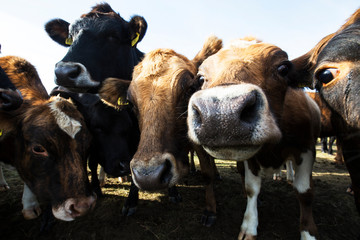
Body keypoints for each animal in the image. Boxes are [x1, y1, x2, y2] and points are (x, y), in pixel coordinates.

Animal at [98, 36, 222, 225]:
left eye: (189, 89)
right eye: (130, 102)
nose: (149, 176)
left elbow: (207, 172)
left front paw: (210, 210)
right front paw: (131, 202)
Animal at [187, 37, 320, 238]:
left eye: (283, 68)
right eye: (201, 78)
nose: (222, 114)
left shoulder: (306, 148)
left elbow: (305, 192)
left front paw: (308, 234)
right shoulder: (251, 157)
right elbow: (251, 188)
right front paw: (249, 227)